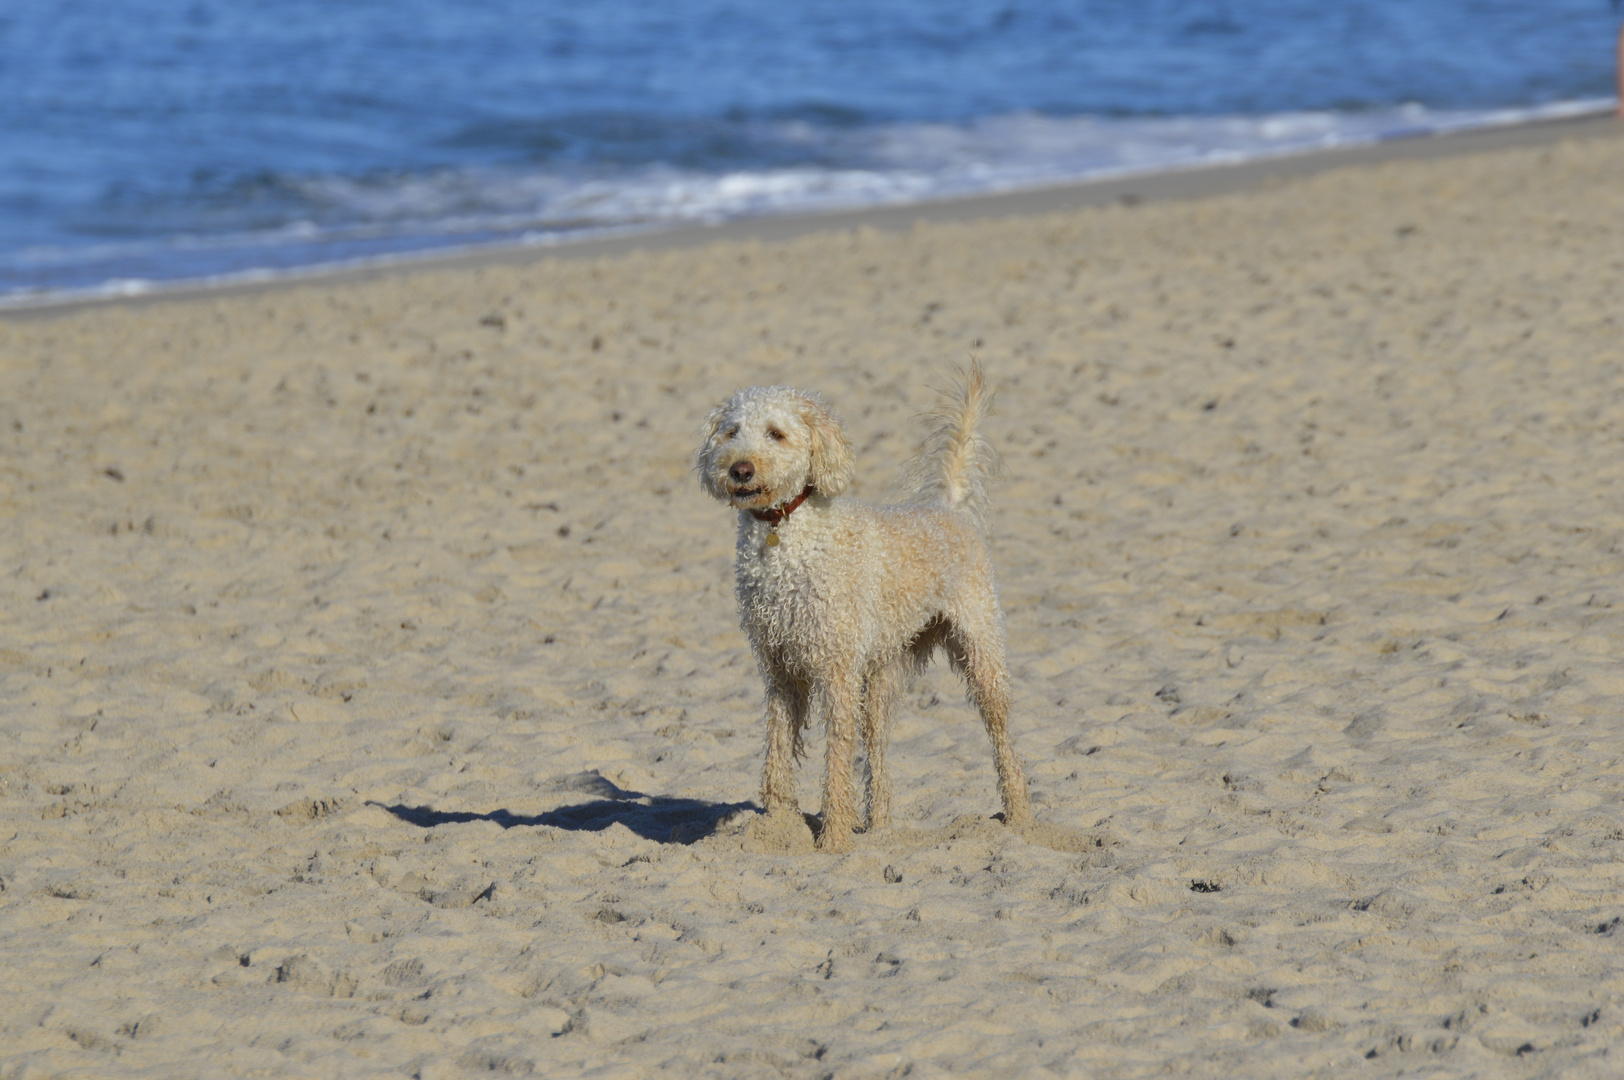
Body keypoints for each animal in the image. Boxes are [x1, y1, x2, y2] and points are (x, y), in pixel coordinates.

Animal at [695, 363, 1026, 851]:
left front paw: (833, 839)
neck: (785, 532)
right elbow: (777, 750)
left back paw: (1022, 818)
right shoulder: (780, 669)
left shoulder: (837, 671)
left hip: (981, 649)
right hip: (885, 673)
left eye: (776, 433)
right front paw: (776, 829)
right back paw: (880, 826)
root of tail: (948, 509)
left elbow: (835, 758)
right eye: (731, 432)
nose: (739, 469)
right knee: (879, 749)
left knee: (1003, 737)